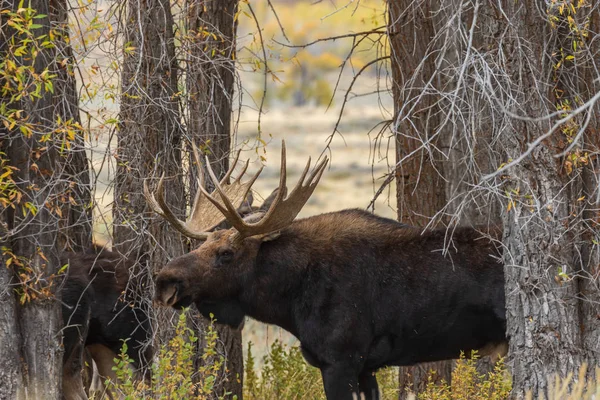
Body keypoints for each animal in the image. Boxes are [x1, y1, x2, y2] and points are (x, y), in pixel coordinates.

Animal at [145, 144, 506, 400]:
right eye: (203, 243)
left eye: (226, 254)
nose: (164, 282)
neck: (288, 301)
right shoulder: (365, 366)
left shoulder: (340, 359)